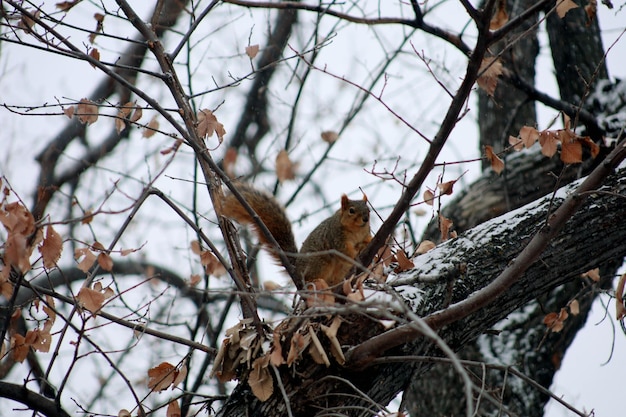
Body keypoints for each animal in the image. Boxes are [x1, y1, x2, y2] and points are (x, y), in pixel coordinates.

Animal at [221, 184, 370, 288]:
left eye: (368, 210)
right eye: (351, 210)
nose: (366, 219)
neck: (356, 230)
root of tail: (297, 269)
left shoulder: (365, 234)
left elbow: (367, 240)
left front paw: (367, 246)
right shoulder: (336, 236)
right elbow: (343, 250)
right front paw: (355, 254)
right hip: (320, 262)